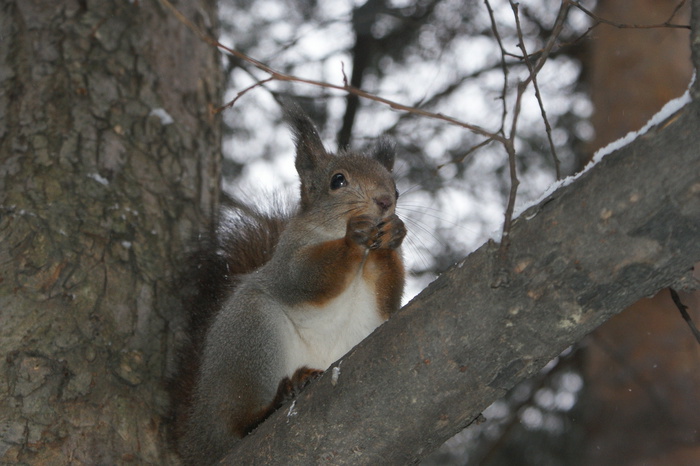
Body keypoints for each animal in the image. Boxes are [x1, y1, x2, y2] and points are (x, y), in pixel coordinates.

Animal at [170, 104, 408, 464]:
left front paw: (393, 233)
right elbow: (304, 277)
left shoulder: (381, 299)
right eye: (338, 180)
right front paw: (353, 237)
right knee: (236, 421)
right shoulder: (287, 260)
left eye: (396, 188)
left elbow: (389, 297)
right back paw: (274, 401)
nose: (384, 201)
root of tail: (199, 437)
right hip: (250, 338)